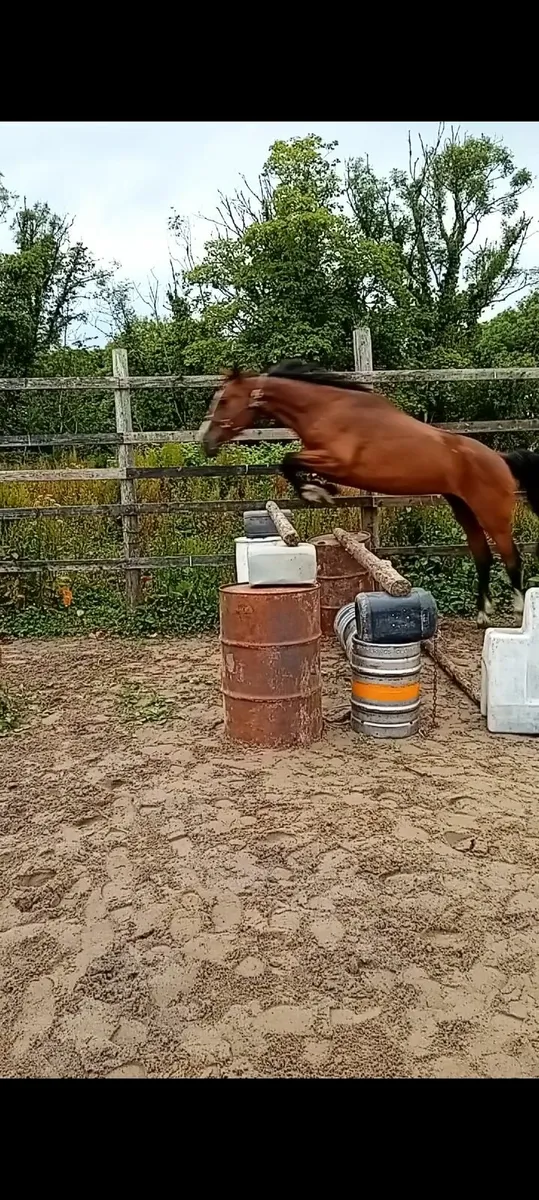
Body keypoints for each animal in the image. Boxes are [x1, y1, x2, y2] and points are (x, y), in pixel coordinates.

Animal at [197, 360, 539, 626]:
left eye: (225, 401)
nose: (205, 442)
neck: (326, 409)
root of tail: (500, 459)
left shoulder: (337, 461)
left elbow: (289, 460)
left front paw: (317, 492)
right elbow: (290, 462)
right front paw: (319, 490)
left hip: (492, 513)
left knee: (512, 556)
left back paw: (518, 611)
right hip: (463, 509)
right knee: (483, 556)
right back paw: (483, 615)